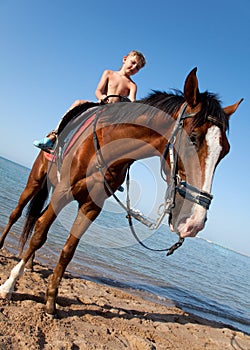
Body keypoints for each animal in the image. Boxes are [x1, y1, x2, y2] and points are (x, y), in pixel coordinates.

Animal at [0, 67, 242, 316]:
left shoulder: (91, 206)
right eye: (193, 138)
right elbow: (39, 234)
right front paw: (9, 286)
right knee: (17, 214)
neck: (108, 145)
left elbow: (68, 250)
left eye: (225, 151)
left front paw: (51, 300)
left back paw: (30, 263)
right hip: (35, 181)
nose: (194, 222)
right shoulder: (63, 192)